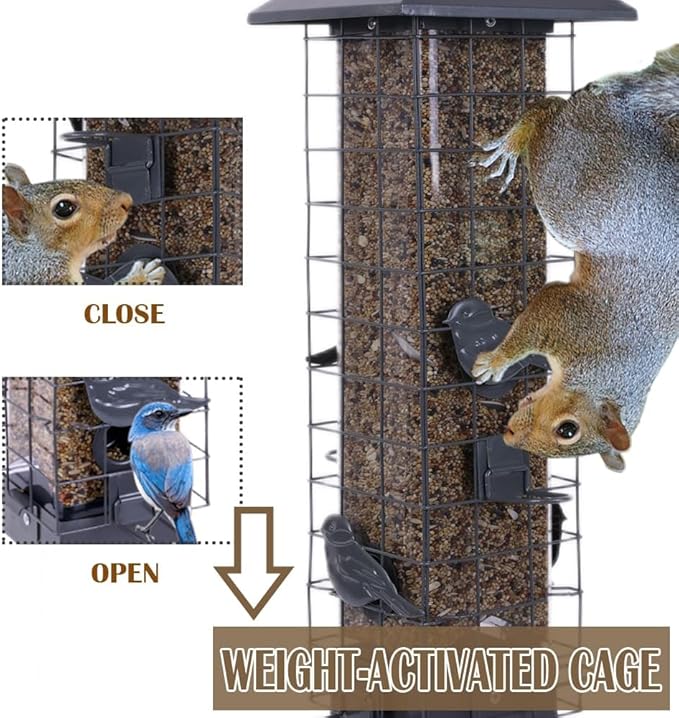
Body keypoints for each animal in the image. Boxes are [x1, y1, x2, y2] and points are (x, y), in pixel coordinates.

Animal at [470, 45, 678, 472]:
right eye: (569, 430)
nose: (510, 435)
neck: (602, 370)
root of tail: (625, 111)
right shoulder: (570, 319)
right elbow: (531, 324)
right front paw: (495, 362)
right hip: (568, 189)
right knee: (548, 113)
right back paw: (517, 138)